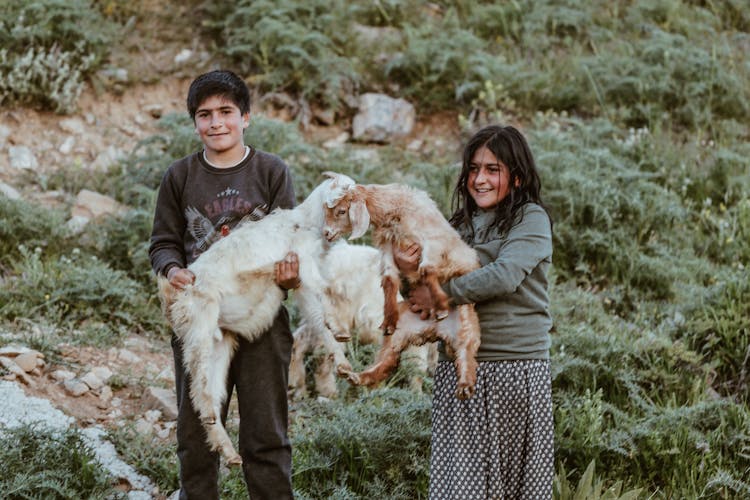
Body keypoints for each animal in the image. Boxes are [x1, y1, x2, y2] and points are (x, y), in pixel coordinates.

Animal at [290, 240, 438, 400]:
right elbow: (418, 369)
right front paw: (416, 396)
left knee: (300, 341)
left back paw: (299, 389)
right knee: (325, 348)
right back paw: (329, 390)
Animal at [322, 174, 482, 400]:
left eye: (342, 211)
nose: (326, 233)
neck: (396, 211)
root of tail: (436, 332)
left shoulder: (432, 242)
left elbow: (426, 270)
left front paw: (440, 304)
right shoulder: (389, 249)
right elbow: (389, 281)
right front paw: (389, 318)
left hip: (466, 322)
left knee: (466, 351)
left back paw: (465, 385)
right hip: (401, 331)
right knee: (386, 360)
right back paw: (356, 376)